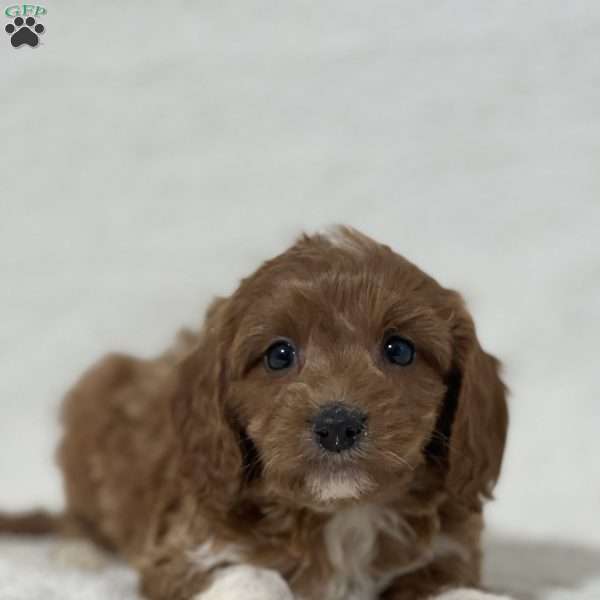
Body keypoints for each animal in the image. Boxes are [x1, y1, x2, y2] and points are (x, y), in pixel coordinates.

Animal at [2, 227, 512, 596]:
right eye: (279, 355)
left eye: (400, 350)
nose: (337, 425)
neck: (344, 514)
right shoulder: (182, 549)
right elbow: (254, 575)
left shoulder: (447, 555)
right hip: (93, 395)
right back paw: (79, 553)